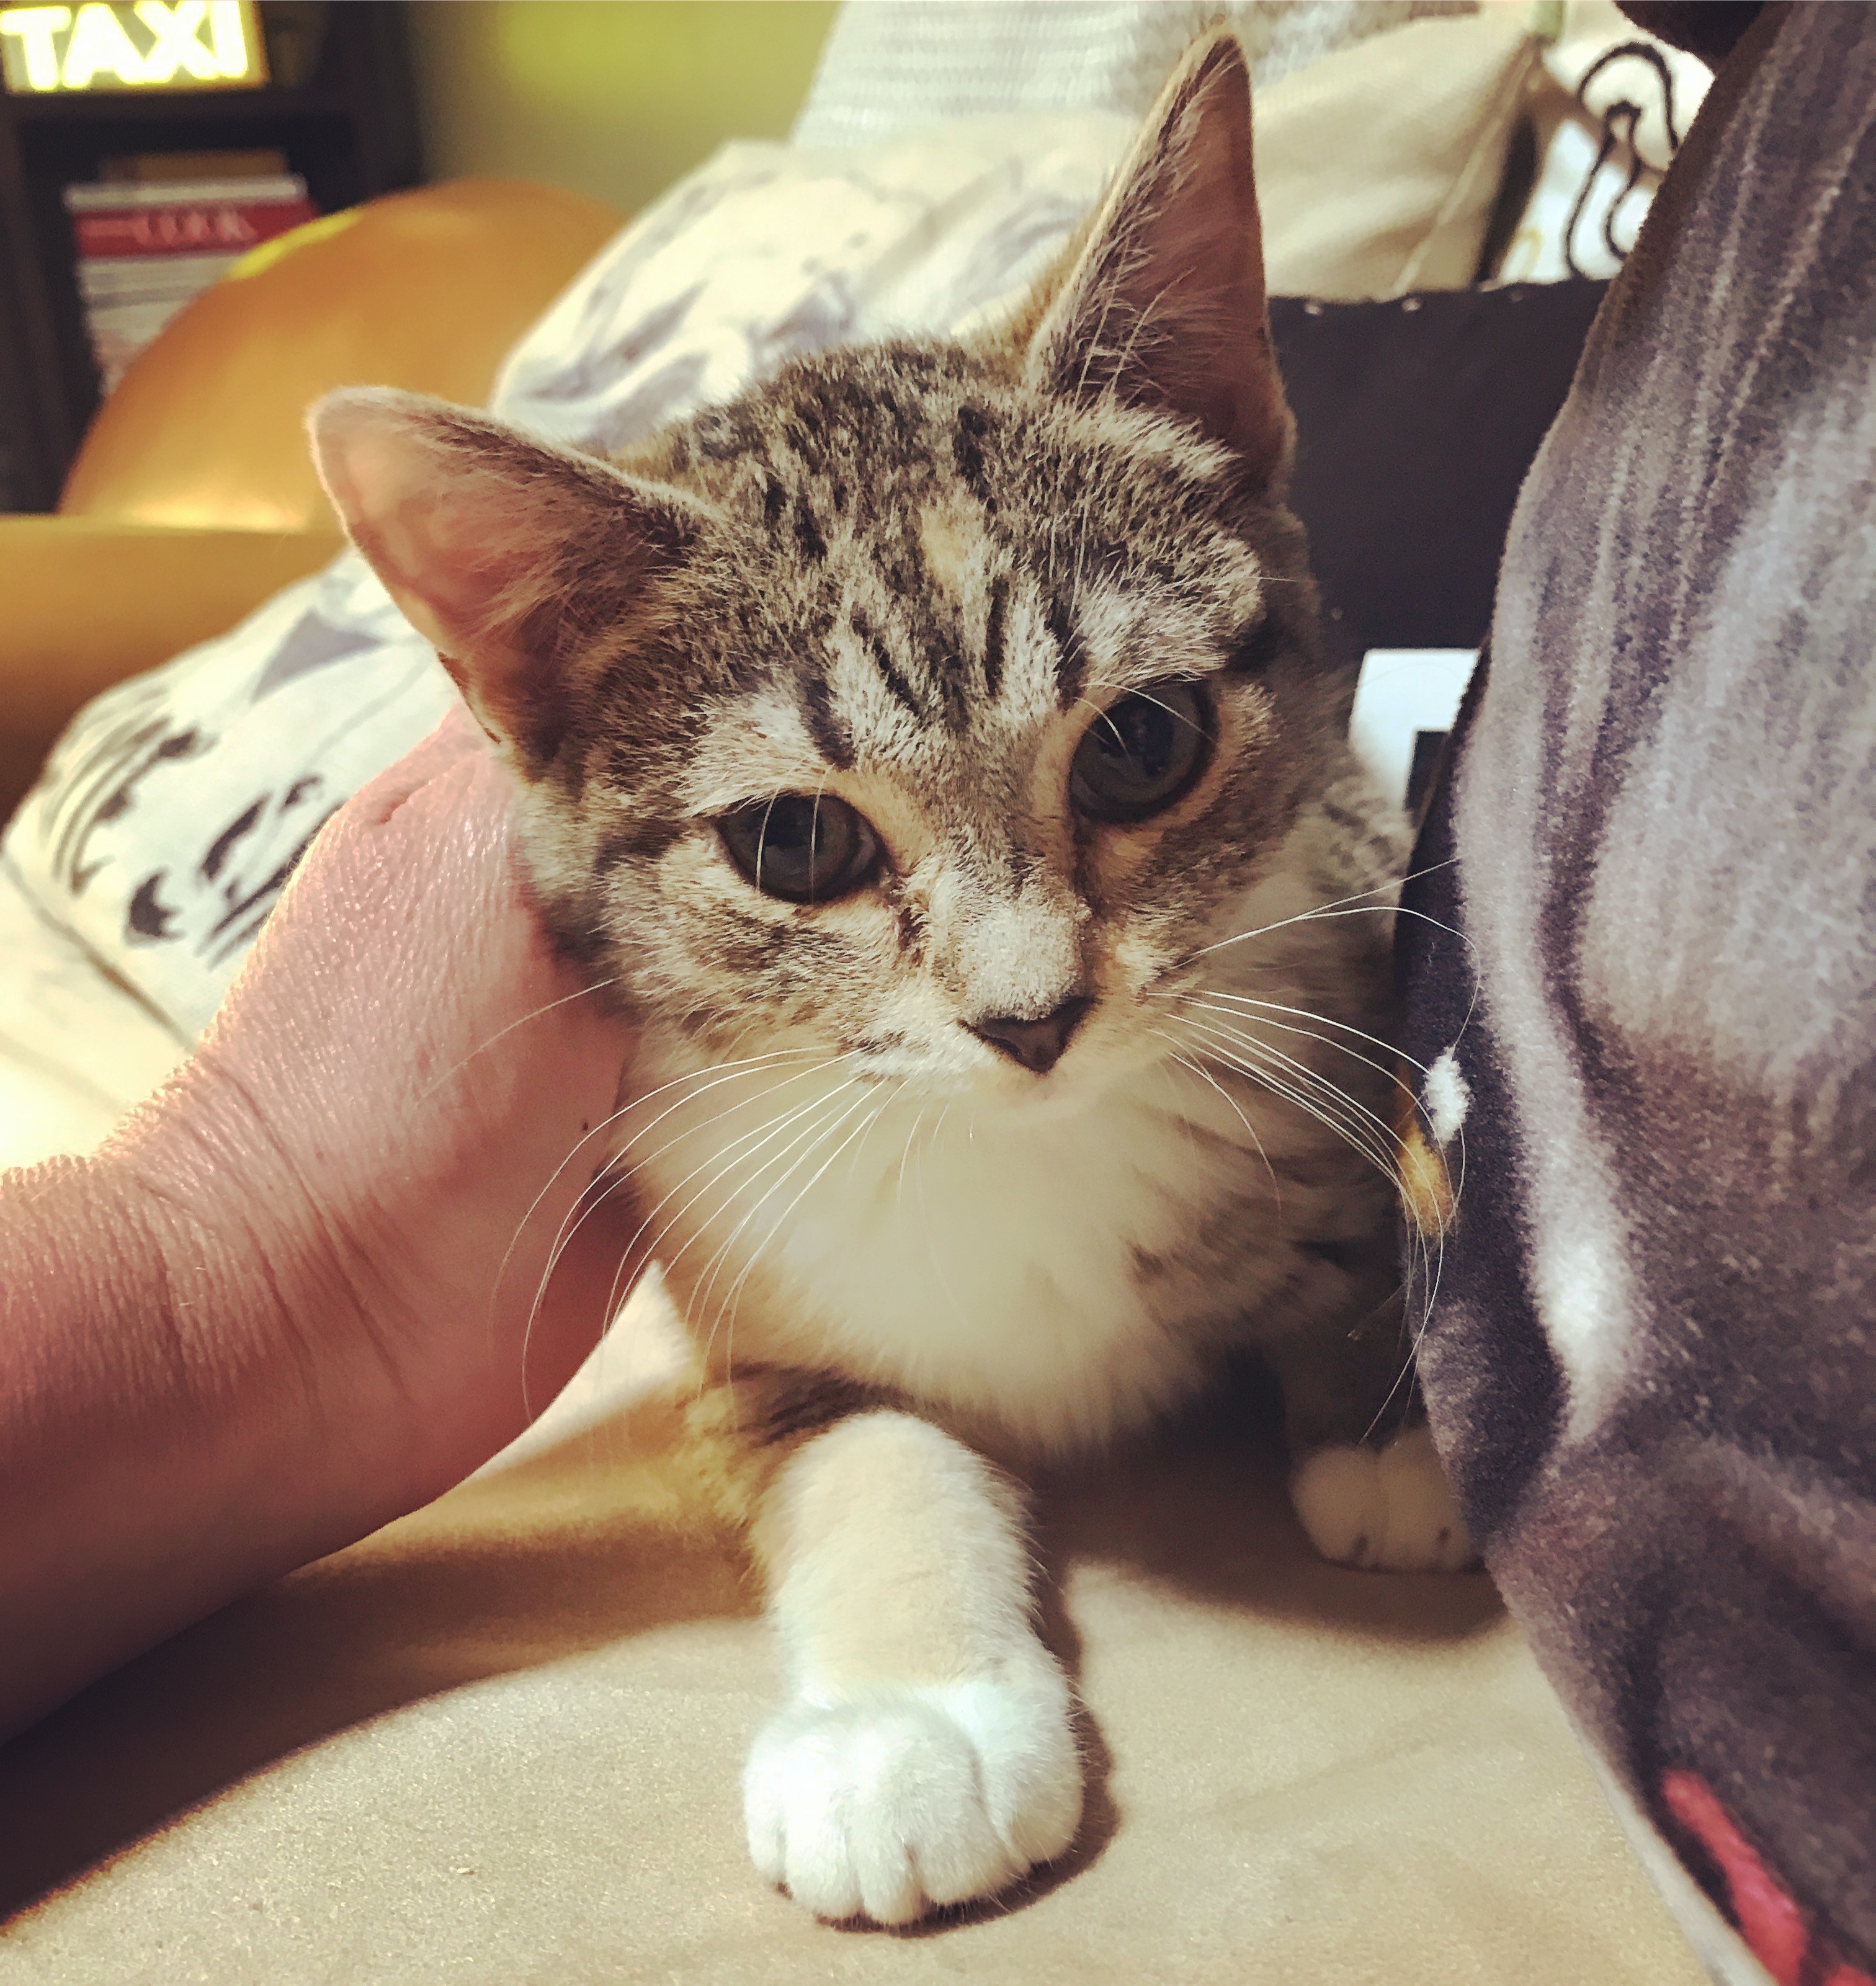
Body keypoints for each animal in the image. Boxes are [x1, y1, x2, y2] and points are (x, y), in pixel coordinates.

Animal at [310, 30, 1472, 1928]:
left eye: (1142, 744)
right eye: (797, 844)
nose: (1032, 1014)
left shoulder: (1342, 908)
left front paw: (1400, 1411)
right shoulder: (744, 1303)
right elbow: (870, 1462)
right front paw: (905, 1728)